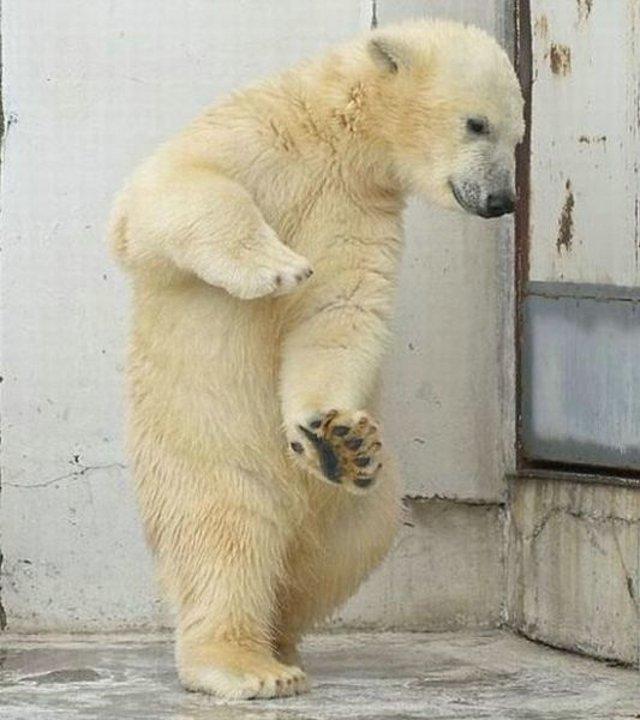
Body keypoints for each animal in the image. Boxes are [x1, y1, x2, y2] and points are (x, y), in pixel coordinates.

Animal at [108, 18, 523, 700]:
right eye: (476, 124)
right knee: (224, 533)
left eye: (516, 134)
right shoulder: (255, 139)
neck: (335, 135)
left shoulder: (362, 207)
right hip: (203, 444)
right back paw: (246, 664)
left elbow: (339, 310)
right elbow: (167, 191)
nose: (502, 199)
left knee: (341, 551)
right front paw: (275, 266)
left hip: (361, 507)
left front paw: (334, 433)